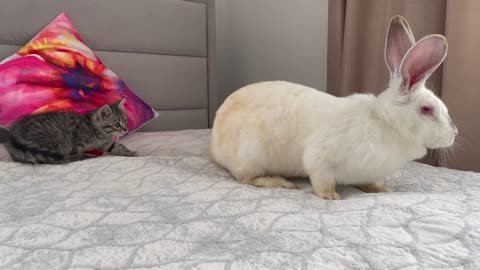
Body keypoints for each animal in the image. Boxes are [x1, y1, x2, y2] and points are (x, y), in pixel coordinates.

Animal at [0, 98, 135, 163]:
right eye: (117, 124)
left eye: (126, 121)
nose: (125, 129)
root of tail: (13, 135)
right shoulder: (74, 142)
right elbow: (75, 153)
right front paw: (83, 157)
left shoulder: (107, 143)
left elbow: (119, 147)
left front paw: (132, 153)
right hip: (52, 141)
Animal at [210, 15, 458, 199]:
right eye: (427, 110)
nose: (454, 133)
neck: (387, 122)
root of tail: (214, 142)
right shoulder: (320, 158)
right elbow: (321, 180)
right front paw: (331, 196)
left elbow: (368, 182)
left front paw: (381, 189)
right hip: (251, 156)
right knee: (246, 178)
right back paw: (281, 182)